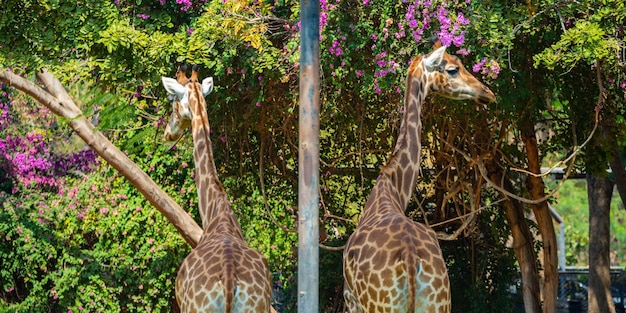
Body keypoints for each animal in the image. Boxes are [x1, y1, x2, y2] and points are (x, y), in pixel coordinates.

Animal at [161, 64, 270, 310]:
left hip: (195, 307)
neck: (215, 212)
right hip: (258, 306)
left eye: (172, 101)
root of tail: (229, 281)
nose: (167, 133)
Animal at [342, 42, 492, 312]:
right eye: (452, 69)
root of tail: (411, 260)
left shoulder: (350, 300)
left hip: (380, 305)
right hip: (439, 301)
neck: (391, 188)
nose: (488, 93)